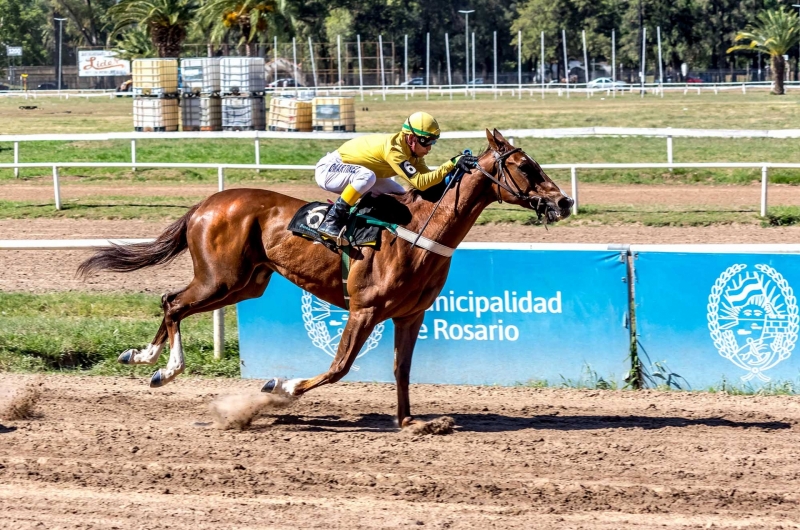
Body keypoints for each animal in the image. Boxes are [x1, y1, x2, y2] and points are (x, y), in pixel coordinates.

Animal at [78, 129, 572, 428]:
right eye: (526, 167)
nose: (563, 201)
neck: (419, 230)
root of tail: (204, 204)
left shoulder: (410, 316)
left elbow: (402, 370)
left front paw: (412, 422)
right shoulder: (364, 309)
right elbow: (339, 368)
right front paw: (279, 386)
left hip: (246, 283)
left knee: (172, 302)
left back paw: (145, 358)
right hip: (220, 278)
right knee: (173, 302)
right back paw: (162, 368)